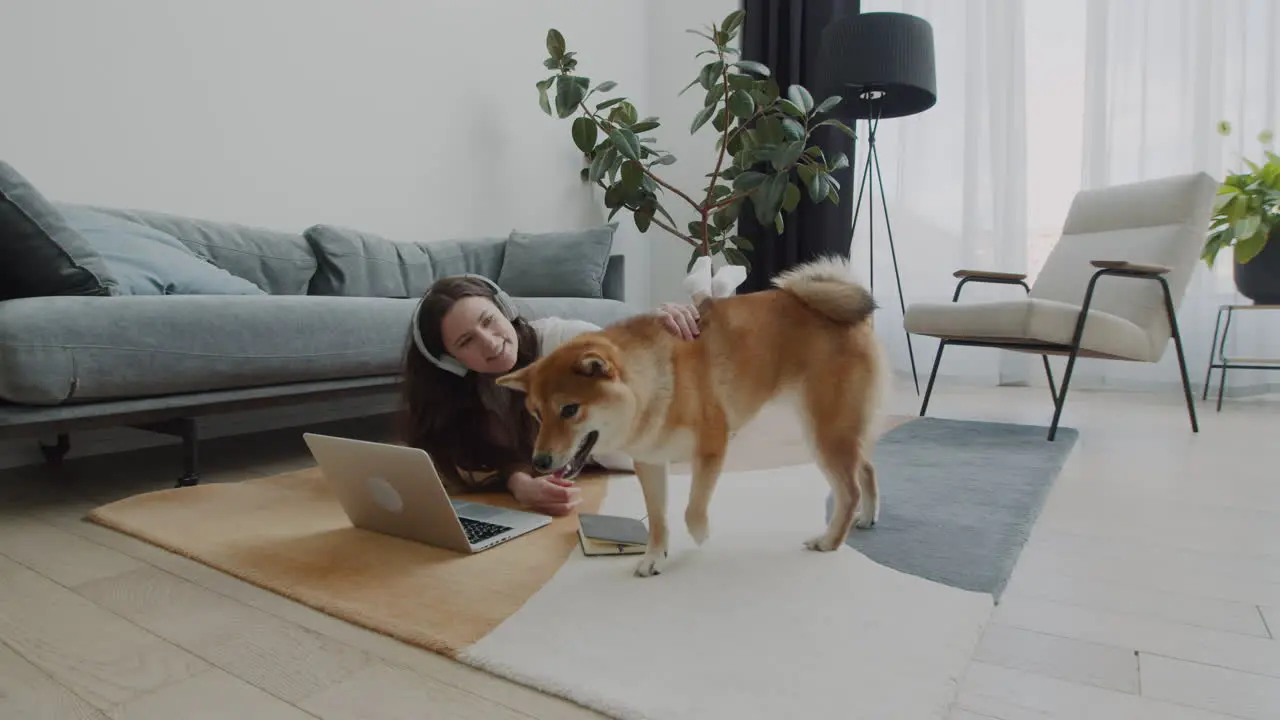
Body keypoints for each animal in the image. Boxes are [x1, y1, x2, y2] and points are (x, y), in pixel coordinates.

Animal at [494, 254, 885, 573]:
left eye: (570, 409)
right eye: (537, 415)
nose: (539, 462)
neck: (658, 384)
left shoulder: (711, 448)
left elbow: (691, 510)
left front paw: (700, 534)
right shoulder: (650, 462)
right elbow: (658, 519)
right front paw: (654, 558)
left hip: (823, 431)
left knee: (849, 489)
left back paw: (830, 540)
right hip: (830, 429)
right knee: (866, 467)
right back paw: (867, 517)